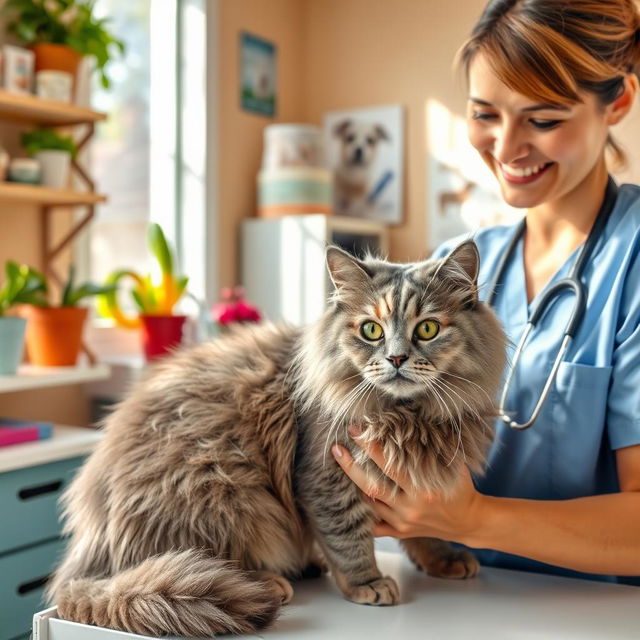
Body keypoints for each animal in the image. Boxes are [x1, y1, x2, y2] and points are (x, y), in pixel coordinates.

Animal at [48, 240, 504, 636]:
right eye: (371, 330)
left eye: (427, 329)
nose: (395, 358)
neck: (408, 416)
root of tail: (89, 554)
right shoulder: (325, 474)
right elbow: (347, 537)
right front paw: (365, 583)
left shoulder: (417, 478)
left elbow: (424, 531)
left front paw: (443, 560)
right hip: (223, 487)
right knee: (190, 558)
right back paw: (269, 583)